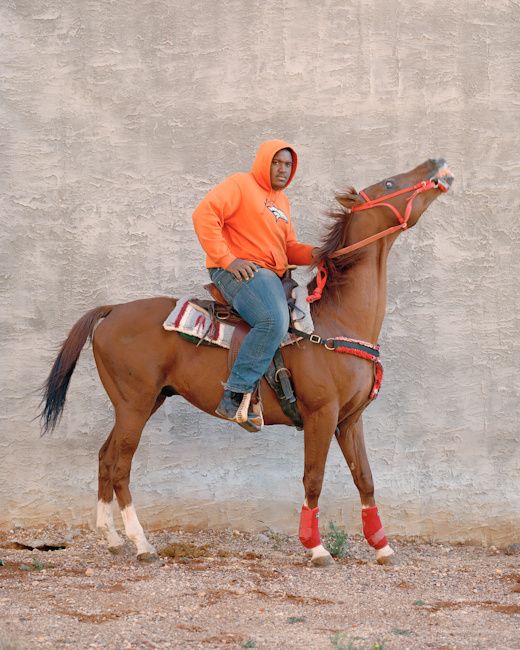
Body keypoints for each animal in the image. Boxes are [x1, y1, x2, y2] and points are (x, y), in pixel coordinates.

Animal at [40, 157, 452, 560]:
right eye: (388, 184)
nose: (437, 163)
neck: (335, 320)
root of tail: (112, 311)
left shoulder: (350, 421)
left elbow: (364, 477)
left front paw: (382, 546)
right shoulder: (322, 414)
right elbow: (314, 477)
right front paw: (315, 546)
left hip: (143, 402)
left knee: (104, 458)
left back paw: (111, 538)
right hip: (134, 406)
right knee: (120, 465)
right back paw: (141, 544)